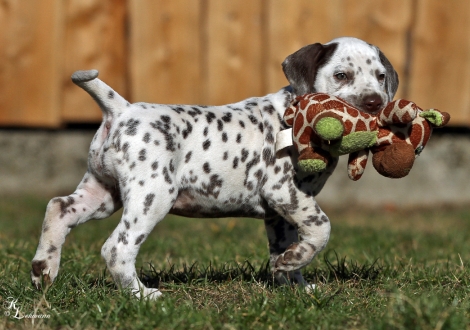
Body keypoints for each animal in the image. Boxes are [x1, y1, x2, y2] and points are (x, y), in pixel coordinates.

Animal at [30, 36, 396, 300]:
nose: (375, 103)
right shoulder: (287, 192)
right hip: (153, 197)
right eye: (341, 75)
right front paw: (294, 263)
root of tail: (121, 109)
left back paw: (43, 270)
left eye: (381, 77)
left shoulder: (281, 214)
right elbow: (322, 229)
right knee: (116, 248)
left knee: (58, 208)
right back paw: (142, 296)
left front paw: (296, 285)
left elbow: (285, 248)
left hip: (102, 193)